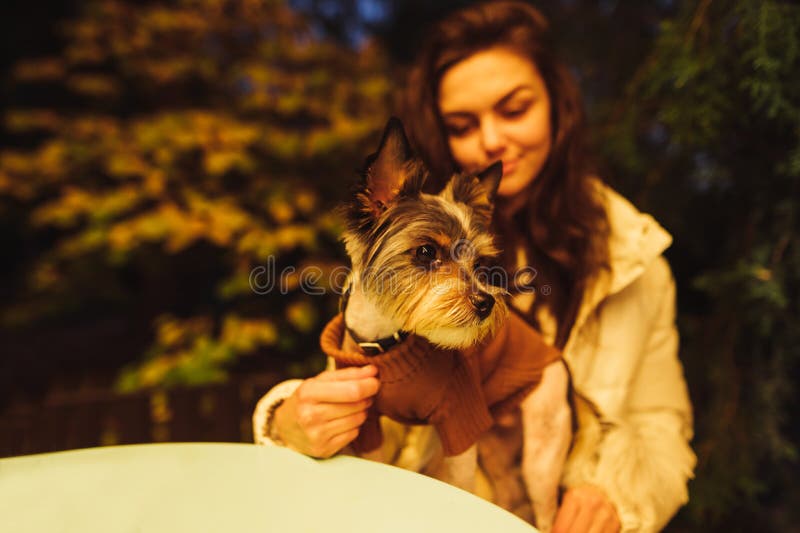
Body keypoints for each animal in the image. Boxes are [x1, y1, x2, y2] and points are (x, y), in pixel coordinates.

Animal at [334, 117, 572, 532]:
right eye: (426, 251)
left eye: (479, 264)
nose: (485, 303)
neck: (389, 342)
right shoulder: (370, 428)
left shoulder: (457, 425)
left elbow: (459, 486)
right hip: (496, 446)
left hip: (541, 452)